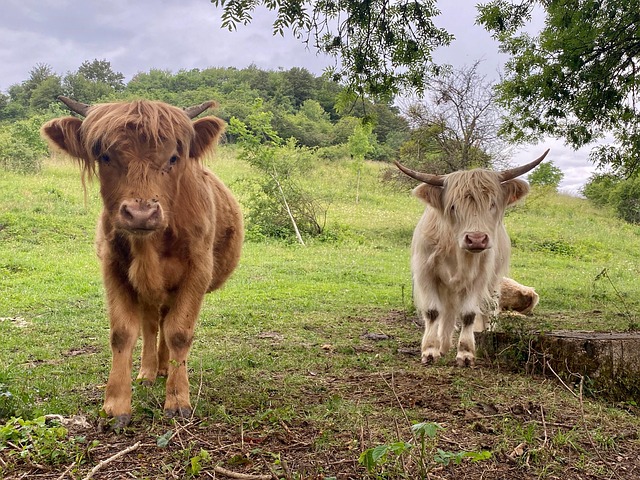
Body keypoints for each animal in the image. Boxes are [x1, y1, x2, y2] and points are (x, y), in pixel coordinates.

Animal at [41, 97, 243, 428]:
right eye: (105, 155)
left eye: (173, 157)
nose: (141, 213)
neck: (149, 246)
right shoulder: (113, 269)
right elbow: (123, 333)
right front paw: (115, 405)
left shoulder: (197, 272)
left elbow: (179, 332)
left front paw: (178, 400)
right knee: (152, 325)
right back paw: (150, 371)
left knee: (165, 323)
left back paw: (164, 368)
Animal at [396, 151, 548, 366]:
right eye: (453, 206)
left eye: (492, 204)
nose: (476, 239)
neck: (455, 252)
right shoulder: (426, 272)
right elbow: (433, 312)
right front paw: (430, 350)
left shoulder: (479, 278)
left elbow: (469, 314)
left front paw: (465, 354)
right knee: (448, 311)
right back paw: (443, 345)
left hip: (494, 281)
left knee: (489, 308)